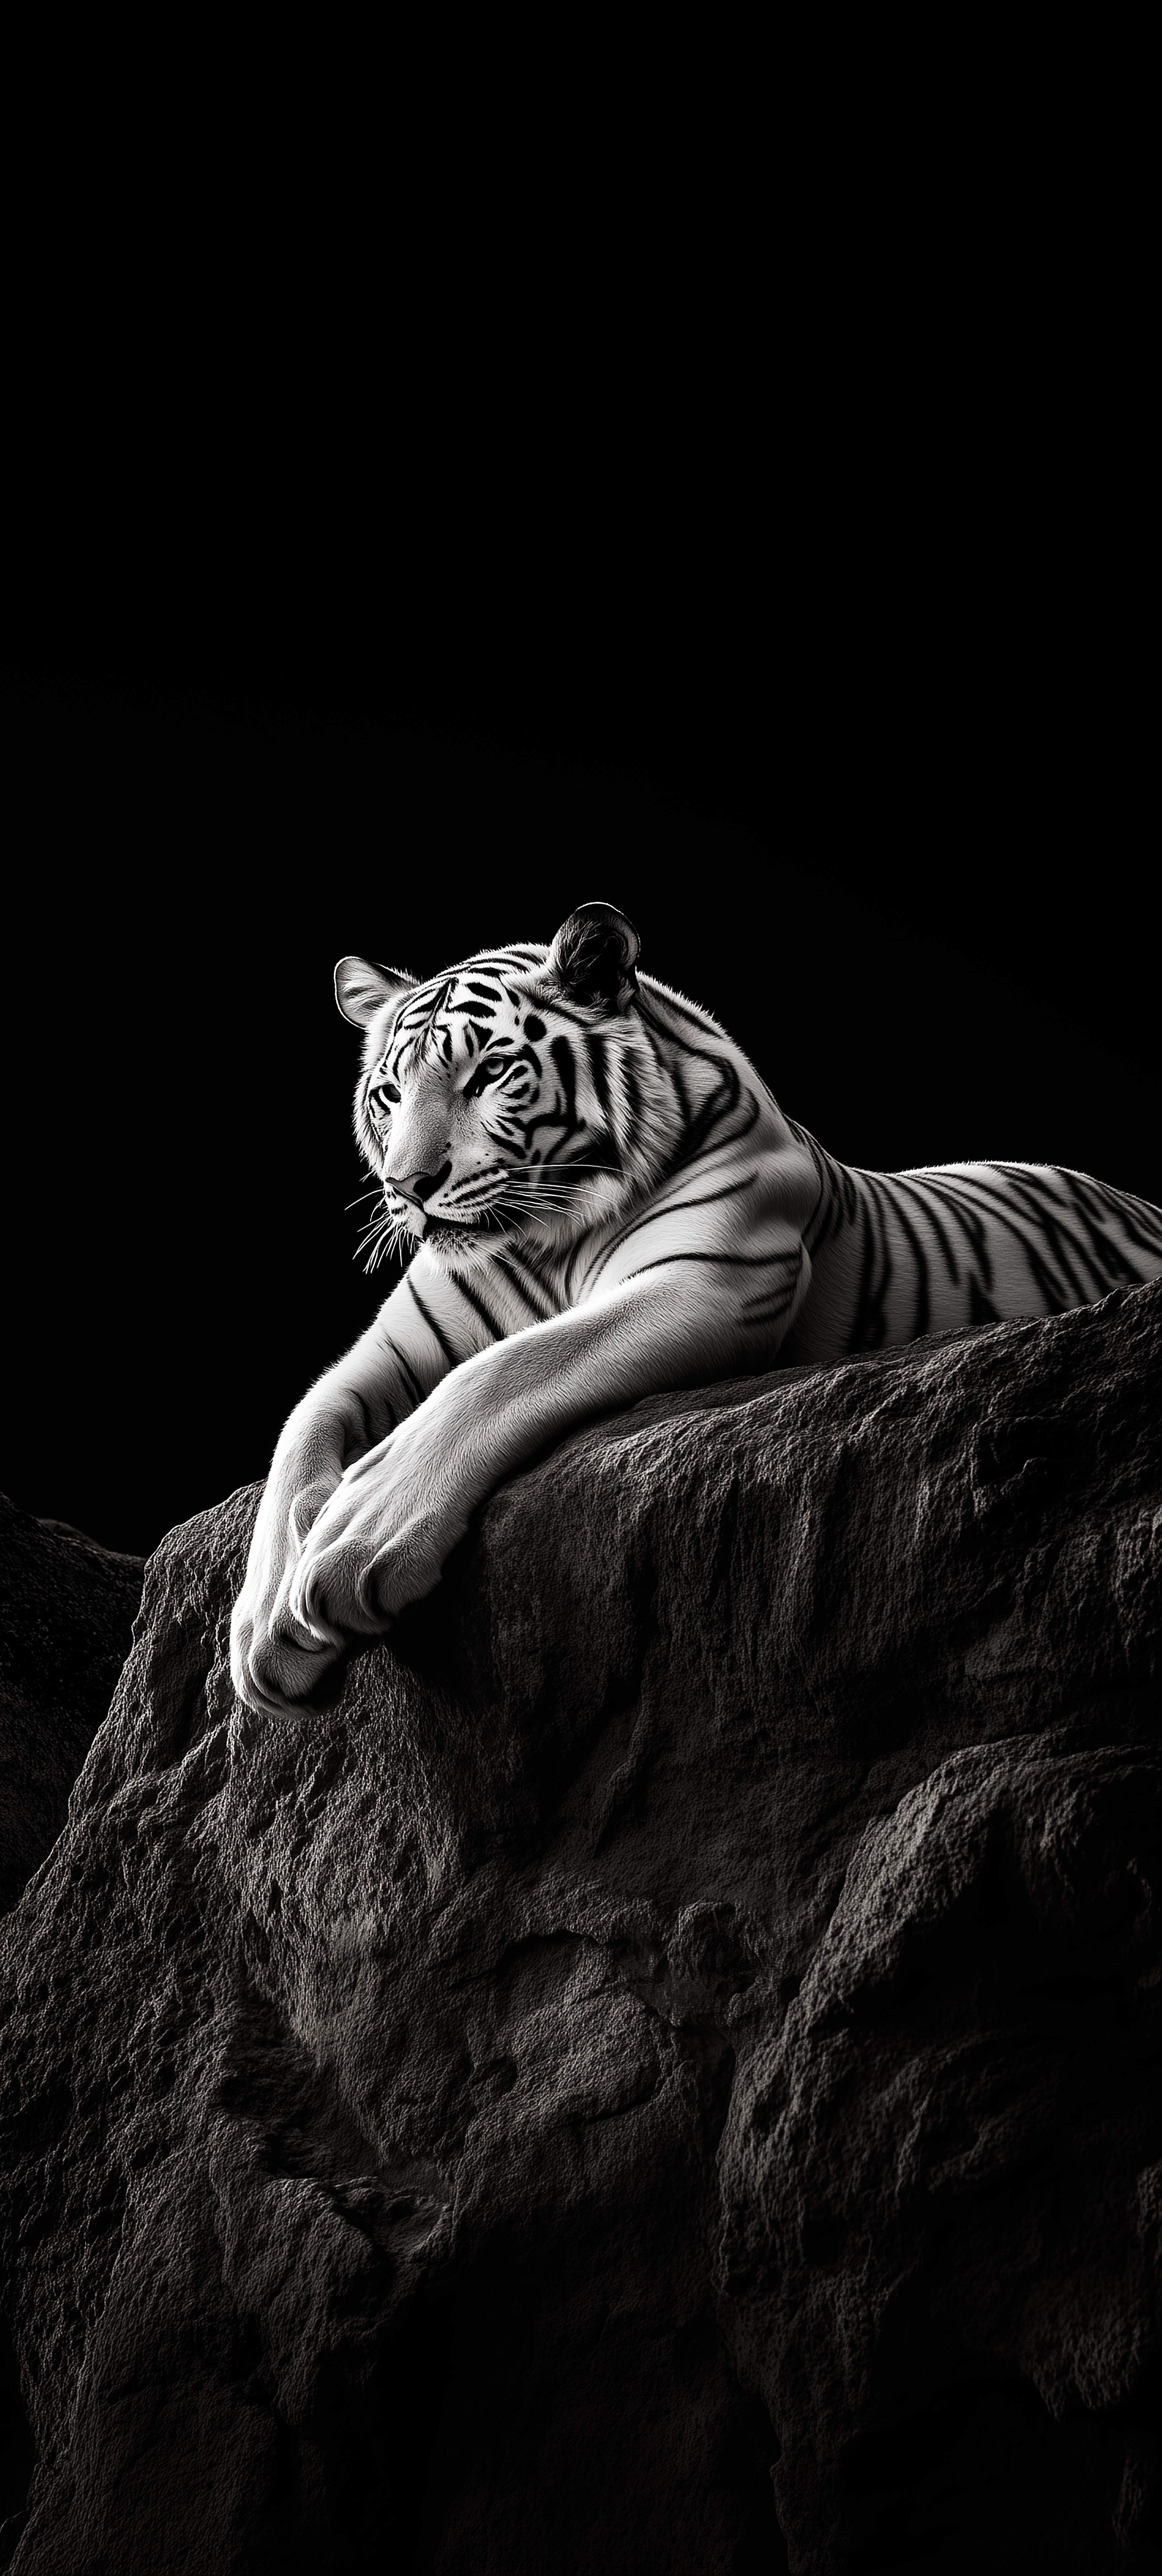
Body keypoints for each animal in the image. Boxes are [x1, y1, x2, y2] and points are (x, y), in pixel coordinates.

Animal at [230, 900, 1162, 1719]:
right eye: (388, 1093)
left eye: (488, 1073)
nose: (408, 1186)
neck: (543, 1237)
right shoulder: (390, 1349)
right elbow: (300, 1427)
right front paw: (261, 1627)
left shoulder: (708, 1275)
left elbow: (504, 1369)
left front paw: (355, 1537)